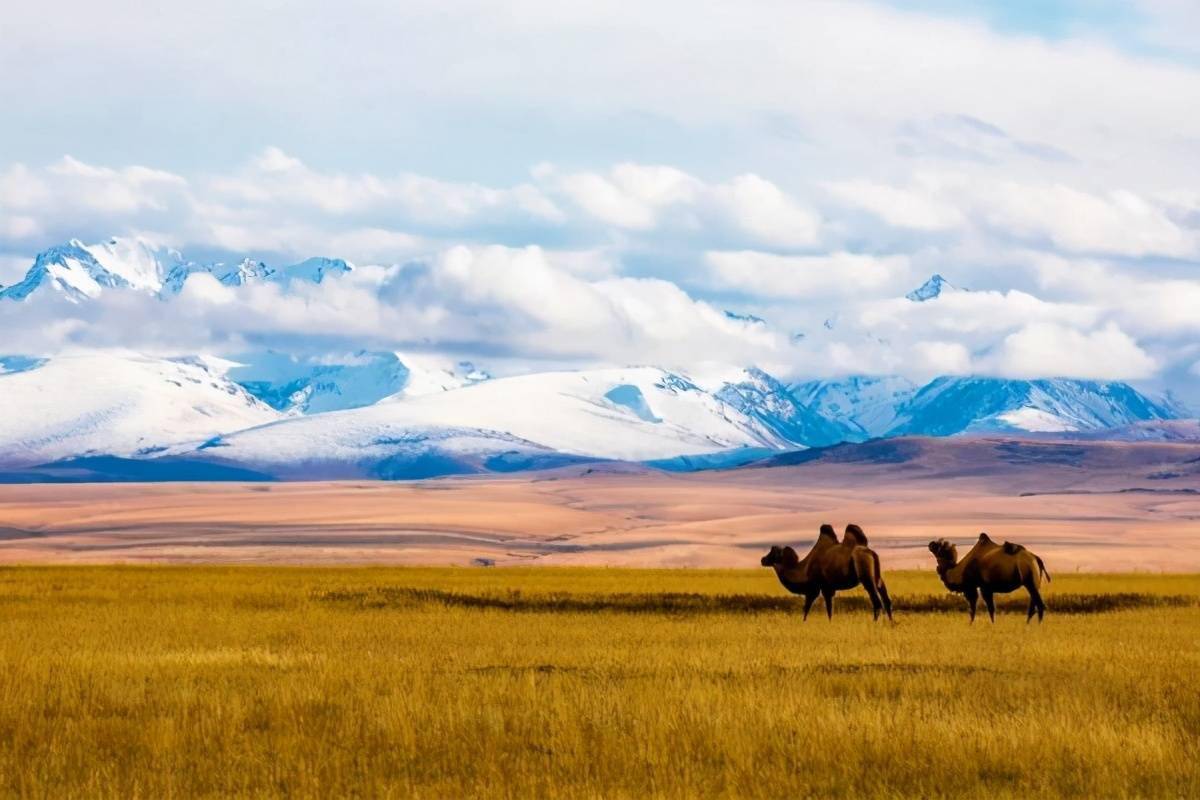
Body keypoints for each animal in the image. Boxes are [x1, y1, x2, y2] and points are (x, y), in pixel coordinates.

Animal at [758, 522, 892, 623]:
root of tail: (871, 553)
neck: (804, 570)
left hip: (865, 573)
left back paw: (875, 623)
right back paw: (891, 623)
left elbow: (813, 608)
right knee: (886, 598)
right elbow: (826, 609)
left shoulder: (819, 587)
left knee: (876, 601)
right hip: (878, 577)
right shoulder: (827, 588)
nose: (762, 559)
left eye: (772, 553)